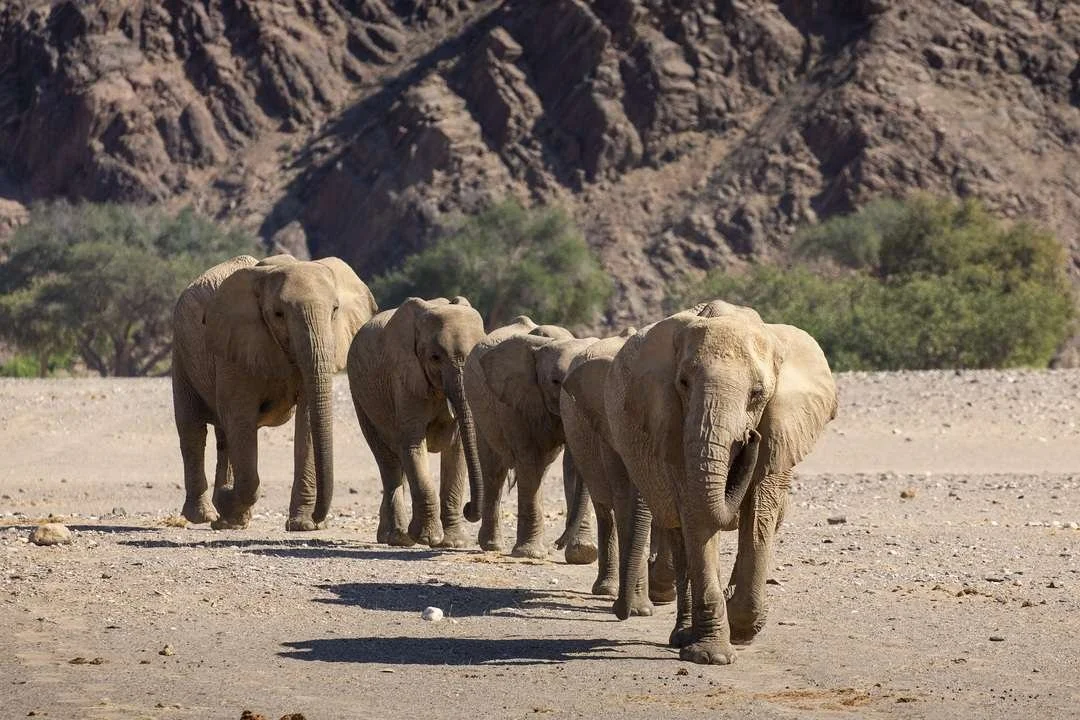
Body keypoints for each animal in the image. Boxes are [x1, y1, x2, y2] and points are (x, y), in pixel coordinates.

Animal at [172, 254, 378, 531]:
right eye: (279, 314)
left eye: (335, 310)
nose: (319, 520)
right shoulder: (235, 345)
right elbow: (240, 418)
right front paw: (226, 501)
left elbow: (307, 421)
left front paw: (302, 525)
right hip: (182, 349)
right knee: (192, 428)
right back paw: (204, 516)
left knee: (224, 435)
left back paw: (229, 519)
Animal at [347, 297, 486, 548]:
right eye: (435, 358)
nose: (469, 507)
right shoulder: (403, 377)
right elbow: (413, 444)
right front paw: (427, 538)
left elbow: (457, 449)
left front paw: (454, 543)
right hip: (360, 397)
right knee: (389, 462)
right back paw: (398, 537)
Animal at [464, 316, 599, 562]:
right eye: (555, 381)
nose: (557, 544)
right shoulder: (515, 400)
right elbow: (528, 458)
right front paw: (530, 554)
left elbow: (572, 463)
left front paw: (583, 554)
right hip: (479, 405)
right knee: (494, 469)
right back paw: (492, 545)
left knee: (540, 469)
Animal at [604, 300, 837, 664]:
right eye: (683, 383)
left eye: (757, 394)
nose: (751, 436)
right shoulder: (674, 427)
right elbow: (698, 519)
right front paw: (711, 657)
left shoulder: (780, 428)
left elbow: (760, 514)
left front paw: (741, 630)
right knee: (680, 538)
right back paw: (683, 637)